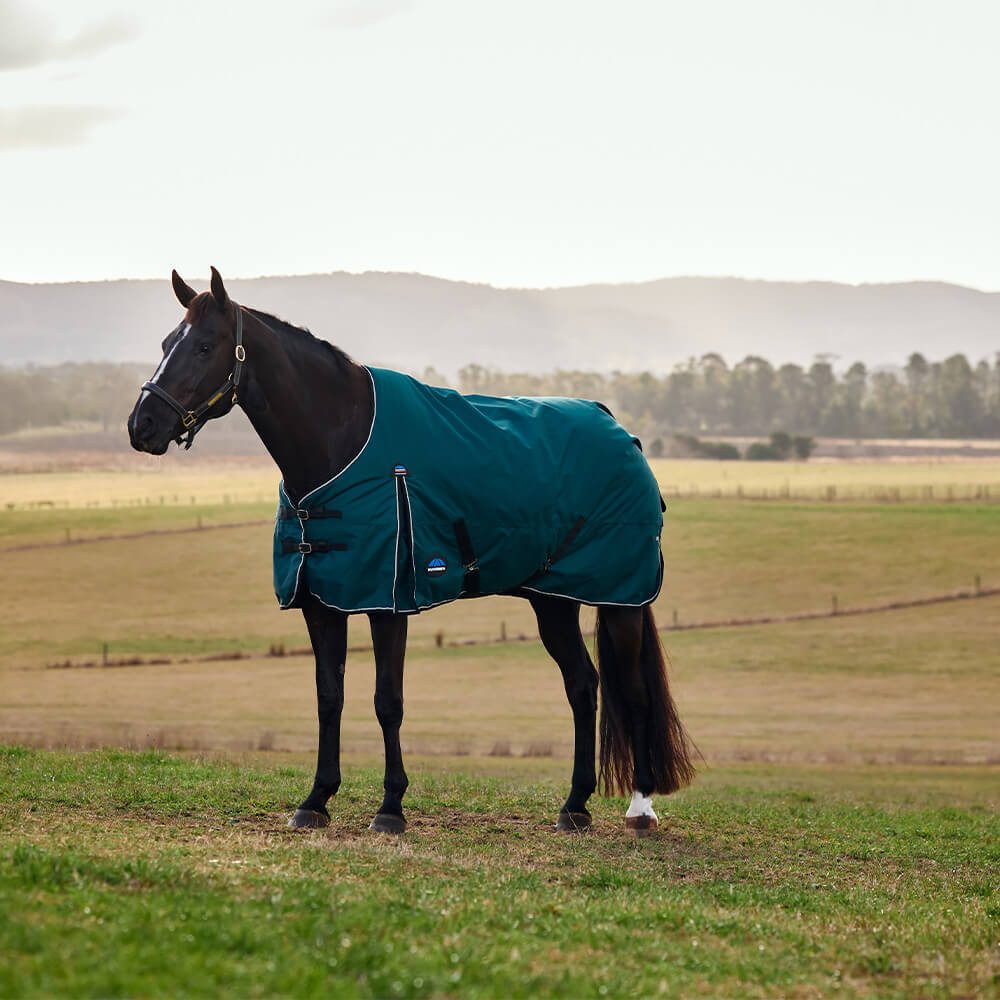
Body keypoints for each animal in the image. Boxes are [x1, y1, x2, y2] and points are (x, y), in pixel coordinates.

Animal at [128, 267, 694, 834]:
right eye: (165, 343)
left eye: (205, 345)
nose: (142, 426)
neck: (343, 441)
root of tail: (619, 429)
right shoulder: (322, 602)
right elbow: (328, 697)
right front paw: (316, 800)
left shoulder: (387, 603)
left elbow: (388, 701)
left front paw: (390, 808)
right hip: (552, 600)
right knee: (582, 684)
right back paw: (574, 806)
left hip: (621, 600)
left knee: (634, 692)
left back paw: (640, 807)